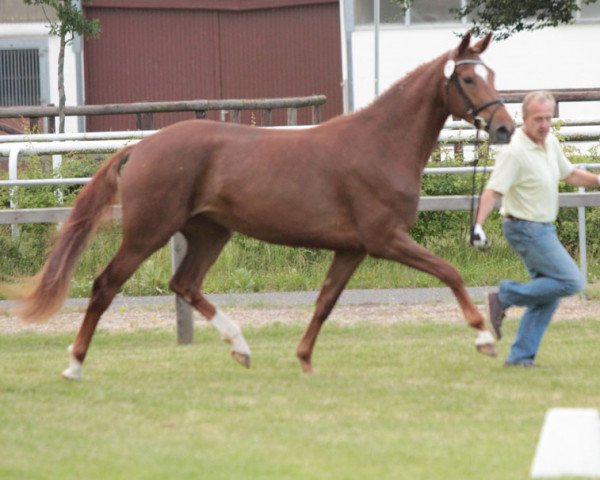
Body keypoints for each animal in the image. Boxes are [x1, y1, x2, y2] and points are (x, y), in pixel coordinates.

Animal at [7, 31, 512, 380]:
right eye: (468, 78)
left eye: (492, 75)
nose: (505, 128)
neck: (381, 144)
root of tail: (142, 146)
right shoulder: (385, 239)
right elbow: (450, 272)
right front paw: (484, 338)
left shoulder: (352, 249)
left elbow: (325, 302)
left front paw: (304, 359)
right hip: (148, 232)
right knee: (105, 286)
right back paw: (74, 365)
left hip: (210, 232)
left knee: (184, 283)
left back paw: (241, 347)